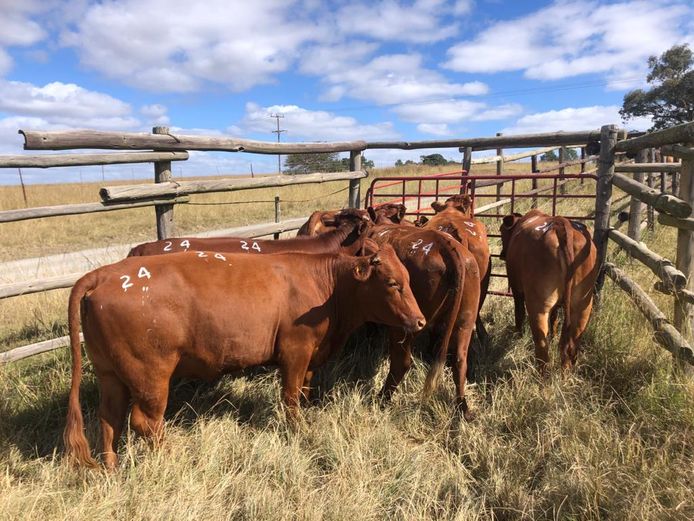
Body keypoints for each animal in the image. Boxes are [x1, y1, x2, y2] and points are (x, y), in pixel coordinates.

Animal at [502, 209, 600, 372]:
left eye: (502, 232)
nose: (502, 254)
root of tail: (561, 225)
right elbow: (554, 319)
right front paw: (553, 337)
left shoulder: (516, 289)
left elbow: (519, 313)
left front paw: (518, 335)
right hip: (583, 304)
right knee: (571, 344)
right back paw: (566, 373)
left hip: (538, 306)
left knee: (542, 347)